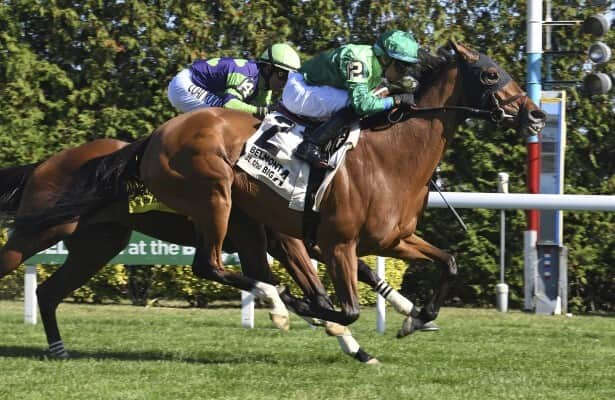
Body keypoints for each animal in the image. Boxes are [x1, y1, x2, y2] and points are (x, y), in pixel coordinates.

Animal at [12, 39, 548, 360]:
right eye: (491, 75)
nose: (537, 116)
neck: (390, 156)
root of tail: (155, 137)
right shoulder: (331, 242)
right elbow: (341, 306)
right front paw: (310, 311)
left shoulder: (390, 239)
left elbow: (447, 262)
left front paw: (414, 317)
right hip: (212, 197)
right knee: (208, 264)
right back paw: (277, 300)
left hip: (103, 242)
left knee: (51, 291)